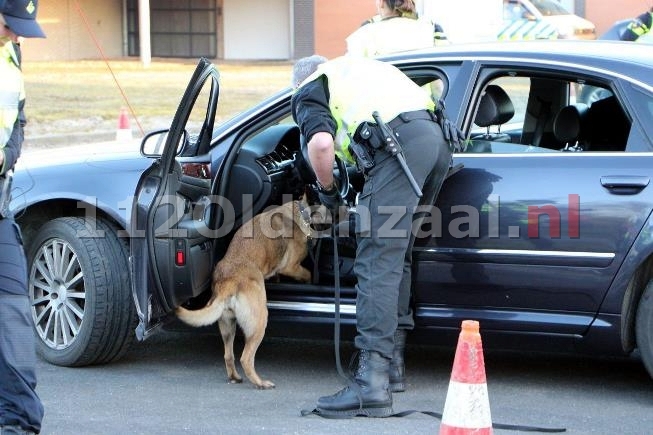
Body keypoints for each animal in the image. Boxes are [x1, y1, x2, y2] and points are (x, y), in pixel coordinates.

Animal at [176, 199, 314, 390]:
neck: (295, 210)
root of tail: (228, 283)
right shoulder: (292, 267)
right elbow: (307, 273)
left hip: (228, 326)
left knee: (229, 356)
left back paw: (235, 377)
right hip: (259, 323)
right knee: (246, 358)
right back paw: (261, 383)